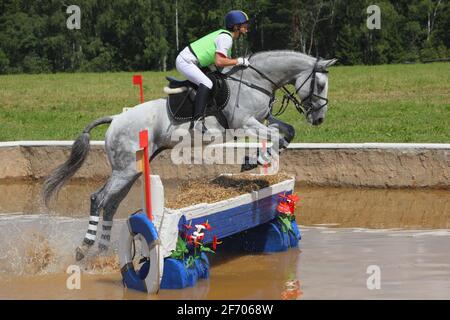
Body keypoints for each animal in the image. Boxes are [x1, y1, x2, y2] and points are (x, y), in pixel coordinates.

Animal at [44, 50, 336, 260]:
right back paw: (84, 248)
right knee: (98, 198)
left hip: (132, 170)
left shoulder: (263, 120)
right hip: (125, 170)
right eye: (320, 85)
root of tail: (116, 119)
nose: (320, 118)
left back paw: (102, 251)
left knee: (111, 203)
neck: (256, 82)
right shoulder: (245, 123)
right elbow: (276, 137)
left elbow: (286, 132)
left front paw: (255, 159)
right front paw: (256, 160)